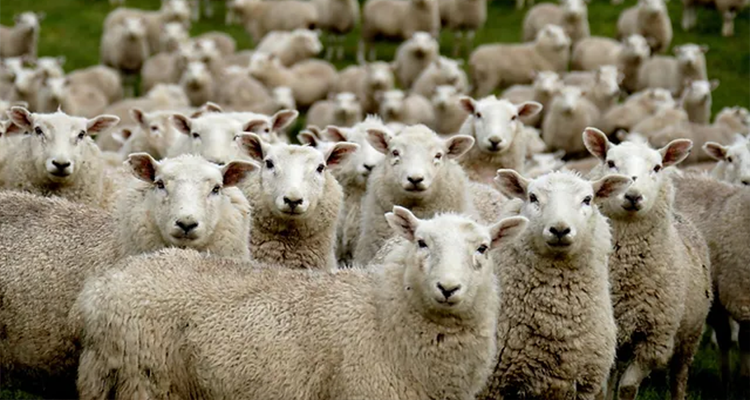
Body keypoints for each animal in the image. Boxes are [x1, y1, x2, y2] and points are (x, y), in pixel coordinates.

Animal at [73, 207, 528, 400]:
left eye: (483, 248)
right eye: (421, 242)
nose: (448, 288)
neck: (385, 317)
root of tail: (98, 290)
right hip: (145, 379)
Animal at [479, 169, 631, 400]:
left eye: (587, 199)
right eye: (533, 197)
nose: (560, 229)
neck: (557, 323)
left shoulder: (586, 386)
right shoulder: (492, 386)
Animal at [582, 127, 712, 400]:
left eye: (657, 167)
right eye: (611, 163)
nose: (633, 195)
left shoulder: (654, 341)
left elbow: (628, 388)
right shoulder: (608, 337)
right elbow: (604, 390)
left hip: (689, 336)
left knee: (679, 376)